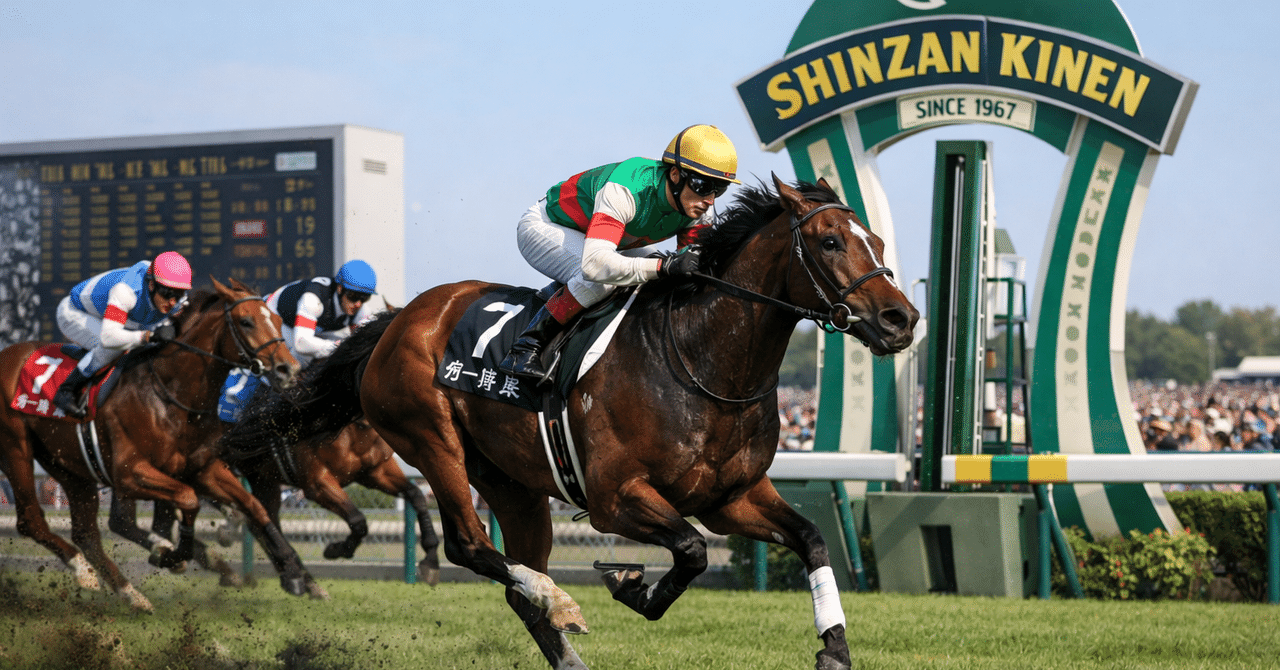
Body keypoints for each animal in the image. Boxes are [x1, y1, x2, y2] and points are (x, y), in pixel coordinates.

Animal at [0, 277, 325, 611]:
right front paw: (171, 553)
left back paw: (131, 594)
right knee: (31, 521)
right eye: (246, 321)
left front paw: (294, 573)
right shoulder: (129, 474)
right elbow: (188, 499)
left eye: (277, 320)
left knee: (86, 533)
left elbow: (252, 506)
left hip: (70, 467)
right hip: (16, 450)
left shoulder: (202, 469)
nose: (288, 369)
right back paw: (83, 569)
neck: (170, 394)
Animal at [270, 176, 917, 669]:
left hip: (511, 482)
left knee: (515, 579)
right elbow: (692, 551)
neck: (701, 360)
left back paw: (561, 638)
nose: (901, 319)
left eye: (878, 240)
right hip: (432, 440)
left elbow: (811, 539)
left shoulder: (731, 498)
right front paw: (632, 586)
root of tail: (402, 319)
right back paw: (558, 600)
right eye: (830, 241)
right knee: (470, 544)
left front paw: (834, 648)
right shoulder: (616, 497)